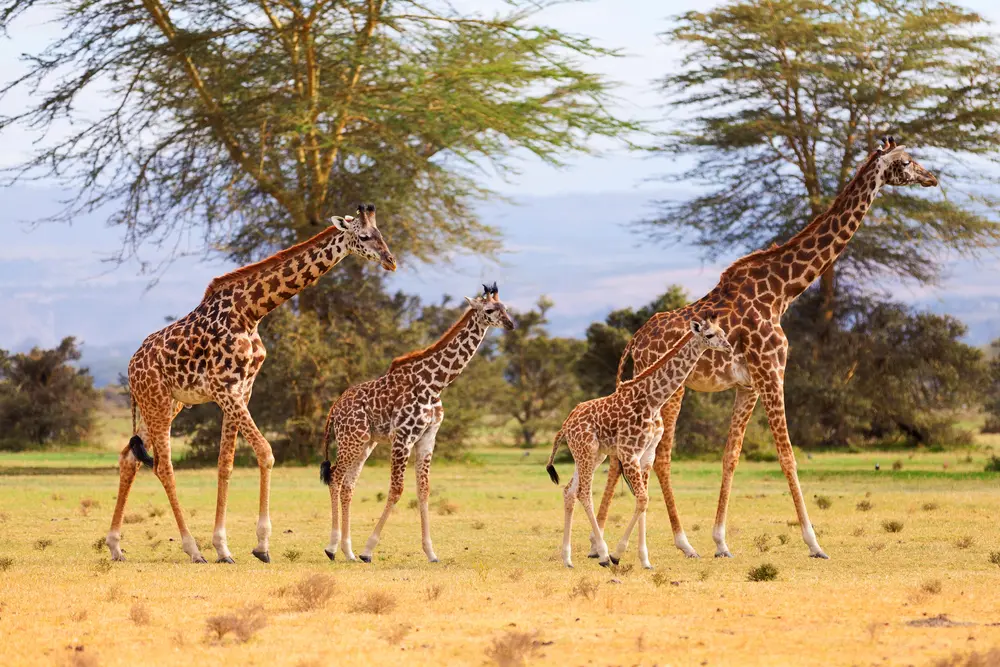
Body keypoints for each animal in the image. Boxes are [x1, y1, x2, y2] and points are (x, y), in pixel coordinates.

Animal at [107, 204, 396, 564]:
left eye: (383, 234)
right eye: (366, 236)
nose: (390, 261)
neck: (250, 312)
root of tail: (131, 366)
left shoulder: (242, 389)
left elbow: (225, 465)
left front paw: (223, 548)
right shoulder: (224, 390)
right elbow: (266, 452)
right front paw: (261, 546)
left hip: (165, 404)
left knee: (129, 458)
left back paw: (116, 546)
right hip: (157, 400)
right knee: (163, 466)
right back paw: (192, 549)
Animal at [319, 283, 515, 563]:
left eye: (505, 308)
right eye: (489, 310)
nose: (510, 324)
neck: (435, 384)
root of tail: (334, 408)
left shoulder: (427, 438)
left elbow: (424, 490)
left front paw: (431, 552)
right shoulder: (403, 437)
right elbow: (397, 489)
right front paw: (369, 549)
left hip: (365, 443)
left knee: (348, 485)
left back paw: (349, 551)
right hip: (351, 439)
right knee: (335, 477)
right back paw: (333, 547)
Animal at [546, 318, 730, 569]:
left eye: (723, 331)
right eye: (710, 335)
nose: (728, 347)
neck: (653, 400)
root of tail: (565, 425)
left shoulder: (647, 453)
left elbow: (643, 501)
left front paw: (645, 560)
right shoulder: (629, 452)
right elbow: (642, 498)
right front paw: (616, 554)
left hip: (592, 455)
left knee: (569, 491)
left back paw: (567, 559)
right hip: (587, 451)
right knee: (584, 492)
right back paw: (602, 554)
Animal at [594, 138, 938, 560]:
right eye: (905, 162)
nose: (932, 178)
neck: (782, 290)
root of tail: (635, 342)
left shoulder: (748, 385)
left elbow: (731, 456)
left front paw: (721, 541)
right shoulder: (773, 371)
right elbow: (788, 456)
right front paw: (814, 542)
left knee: (621, 458)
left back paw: (601, 542)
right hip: (671, 393)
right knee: (659, 459)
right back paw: (680, 542)